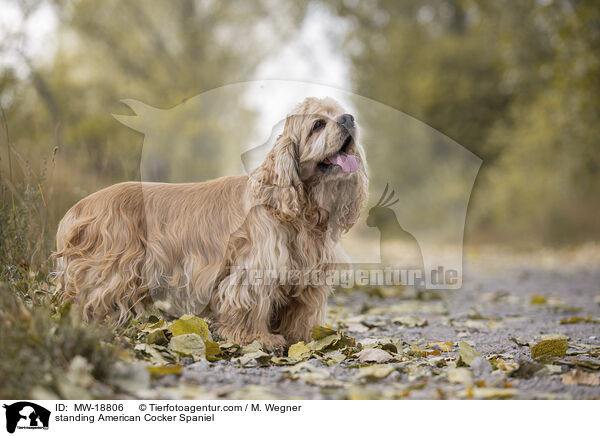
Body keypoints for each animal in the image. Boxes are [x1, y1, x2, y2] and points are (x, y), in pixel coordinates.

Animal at [54, 97, 368, 350]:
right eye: (318, 124)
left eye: (340, 113)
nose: (349, 118)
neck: (298, 208)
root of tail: (77, 208)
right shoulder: (253, 269)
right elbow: (252, 307)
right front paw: (260, 339)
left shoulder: (307, 276)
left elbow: (300, 314)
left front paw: (302, 339)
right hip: (111, 271)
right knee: (86, 299)